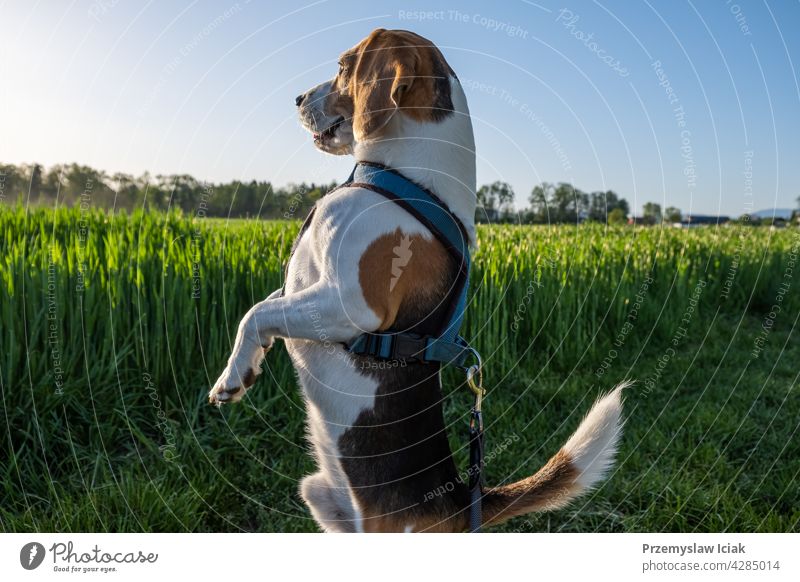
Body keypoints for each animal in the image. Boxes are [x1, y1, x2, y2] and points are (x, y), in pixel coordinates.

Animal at [206, 29, 624, 536]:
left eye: (343, 65)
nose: (298, 99)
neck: (401, 174)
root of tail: (461, 501)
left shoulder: (352, 306)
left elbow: (255, 313)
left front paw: (230, 379)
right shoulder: (303, 290)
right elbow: (267, 307)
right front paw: (243, 366)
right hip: (318, 495)